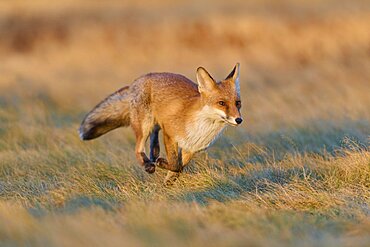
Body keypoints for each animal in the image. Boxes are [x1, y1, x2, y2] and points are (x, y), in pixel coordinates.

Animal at [79, 63, 243, 183]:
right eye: (221, 103)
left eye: (238, 103)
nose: (239, 119)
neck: (202, 128)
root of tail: (138, 80)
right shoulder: (170, 134)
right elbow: (175, 164)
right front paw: (162, 166)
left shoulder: (191, 148)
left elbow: (179, 168)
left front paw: (167, 183)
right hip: (145, 124)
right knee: (138, 149)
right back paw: (148, 164)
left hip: (154, 124)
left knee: (153, 139)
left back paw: (153, 154)